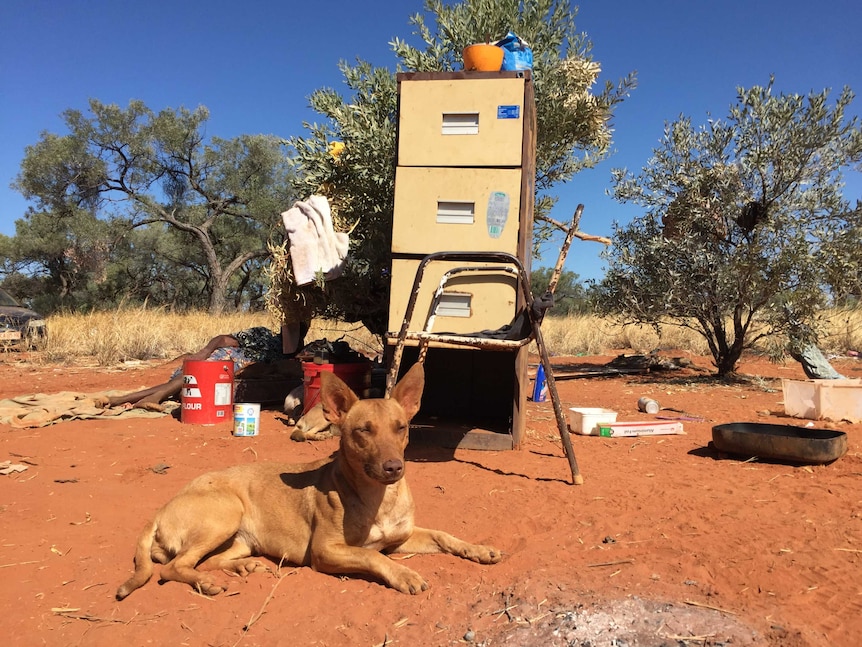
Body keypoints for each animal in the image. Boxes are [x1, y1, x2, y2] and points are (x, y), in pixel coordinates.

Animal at [118, 362, 502, 600]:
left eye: (401, 427)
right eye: (363, 431)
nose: (394, 468)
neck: (379, 496)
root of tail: (162, 508)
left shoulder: (402, 538)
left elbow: (443, 535)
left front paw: (478, 549)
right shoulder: (326, 551)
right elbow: (373, 557)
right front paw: (404, 574)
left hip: (238, 539)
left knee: (202, 560)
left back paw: (241, 566)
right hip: (225, 513)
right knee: (174, 568)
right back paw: (205, 583)